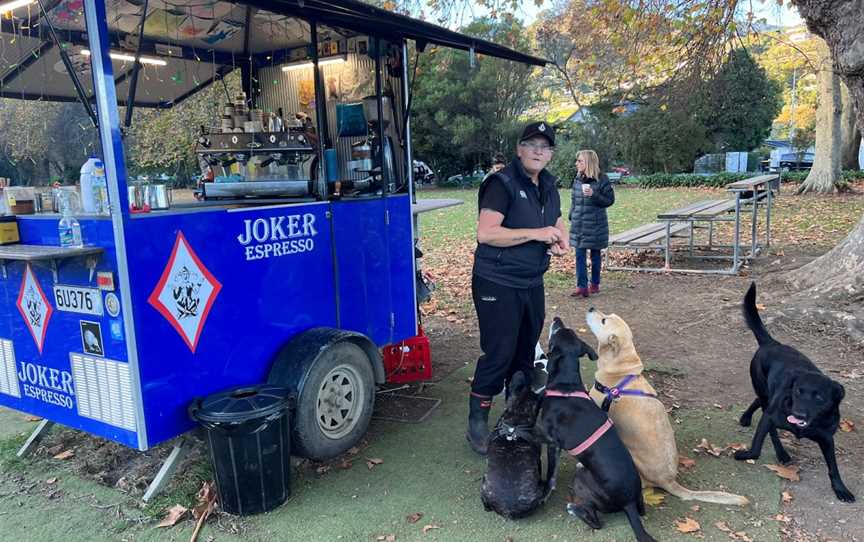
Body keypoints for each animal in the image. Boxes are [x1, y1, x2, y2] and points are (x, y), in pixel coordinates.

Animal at [540, 316, 656, 540]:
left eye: (557, 333)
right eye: (567, 329)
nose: (557, 318)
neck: (566, 387)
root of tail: (629, 502)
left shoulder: (552, 443)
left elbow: (550, 475)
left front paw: (544, 494)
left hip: (583, 479)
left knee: (596, 521)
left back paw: (573, 509)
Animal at [736, 286, 852, 504]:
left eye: (819, 398)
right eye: (799, 391)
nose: (798, 414)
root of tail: (772, 343)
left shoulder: (827, 438)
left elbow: (833, 467)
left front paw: (841, 489)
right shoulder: (770, 416)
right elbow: (757, 447)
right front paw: (745, 454)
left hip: (767, 393)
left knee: (758, 401)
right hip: (764, 392)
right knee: (767, 419)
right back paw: (778, 449)